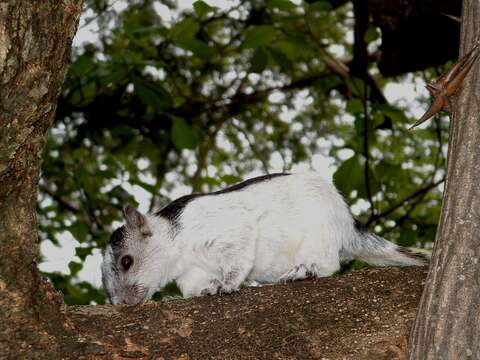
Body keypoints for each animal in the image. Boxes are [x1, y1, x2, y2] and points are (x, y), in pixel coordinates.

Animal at [101, 172, 428, 304]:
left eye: (127, 261)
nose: (121, 303)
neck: (178, 250)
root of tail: (348, 225)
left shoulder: (230, 229)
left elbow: (238, 258)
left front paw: (226, 284)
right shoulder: (191, 273)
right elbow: (193, 287)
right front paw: (196, 293)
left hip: (320, 235)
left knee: (328, 265)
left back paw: (303, 271)